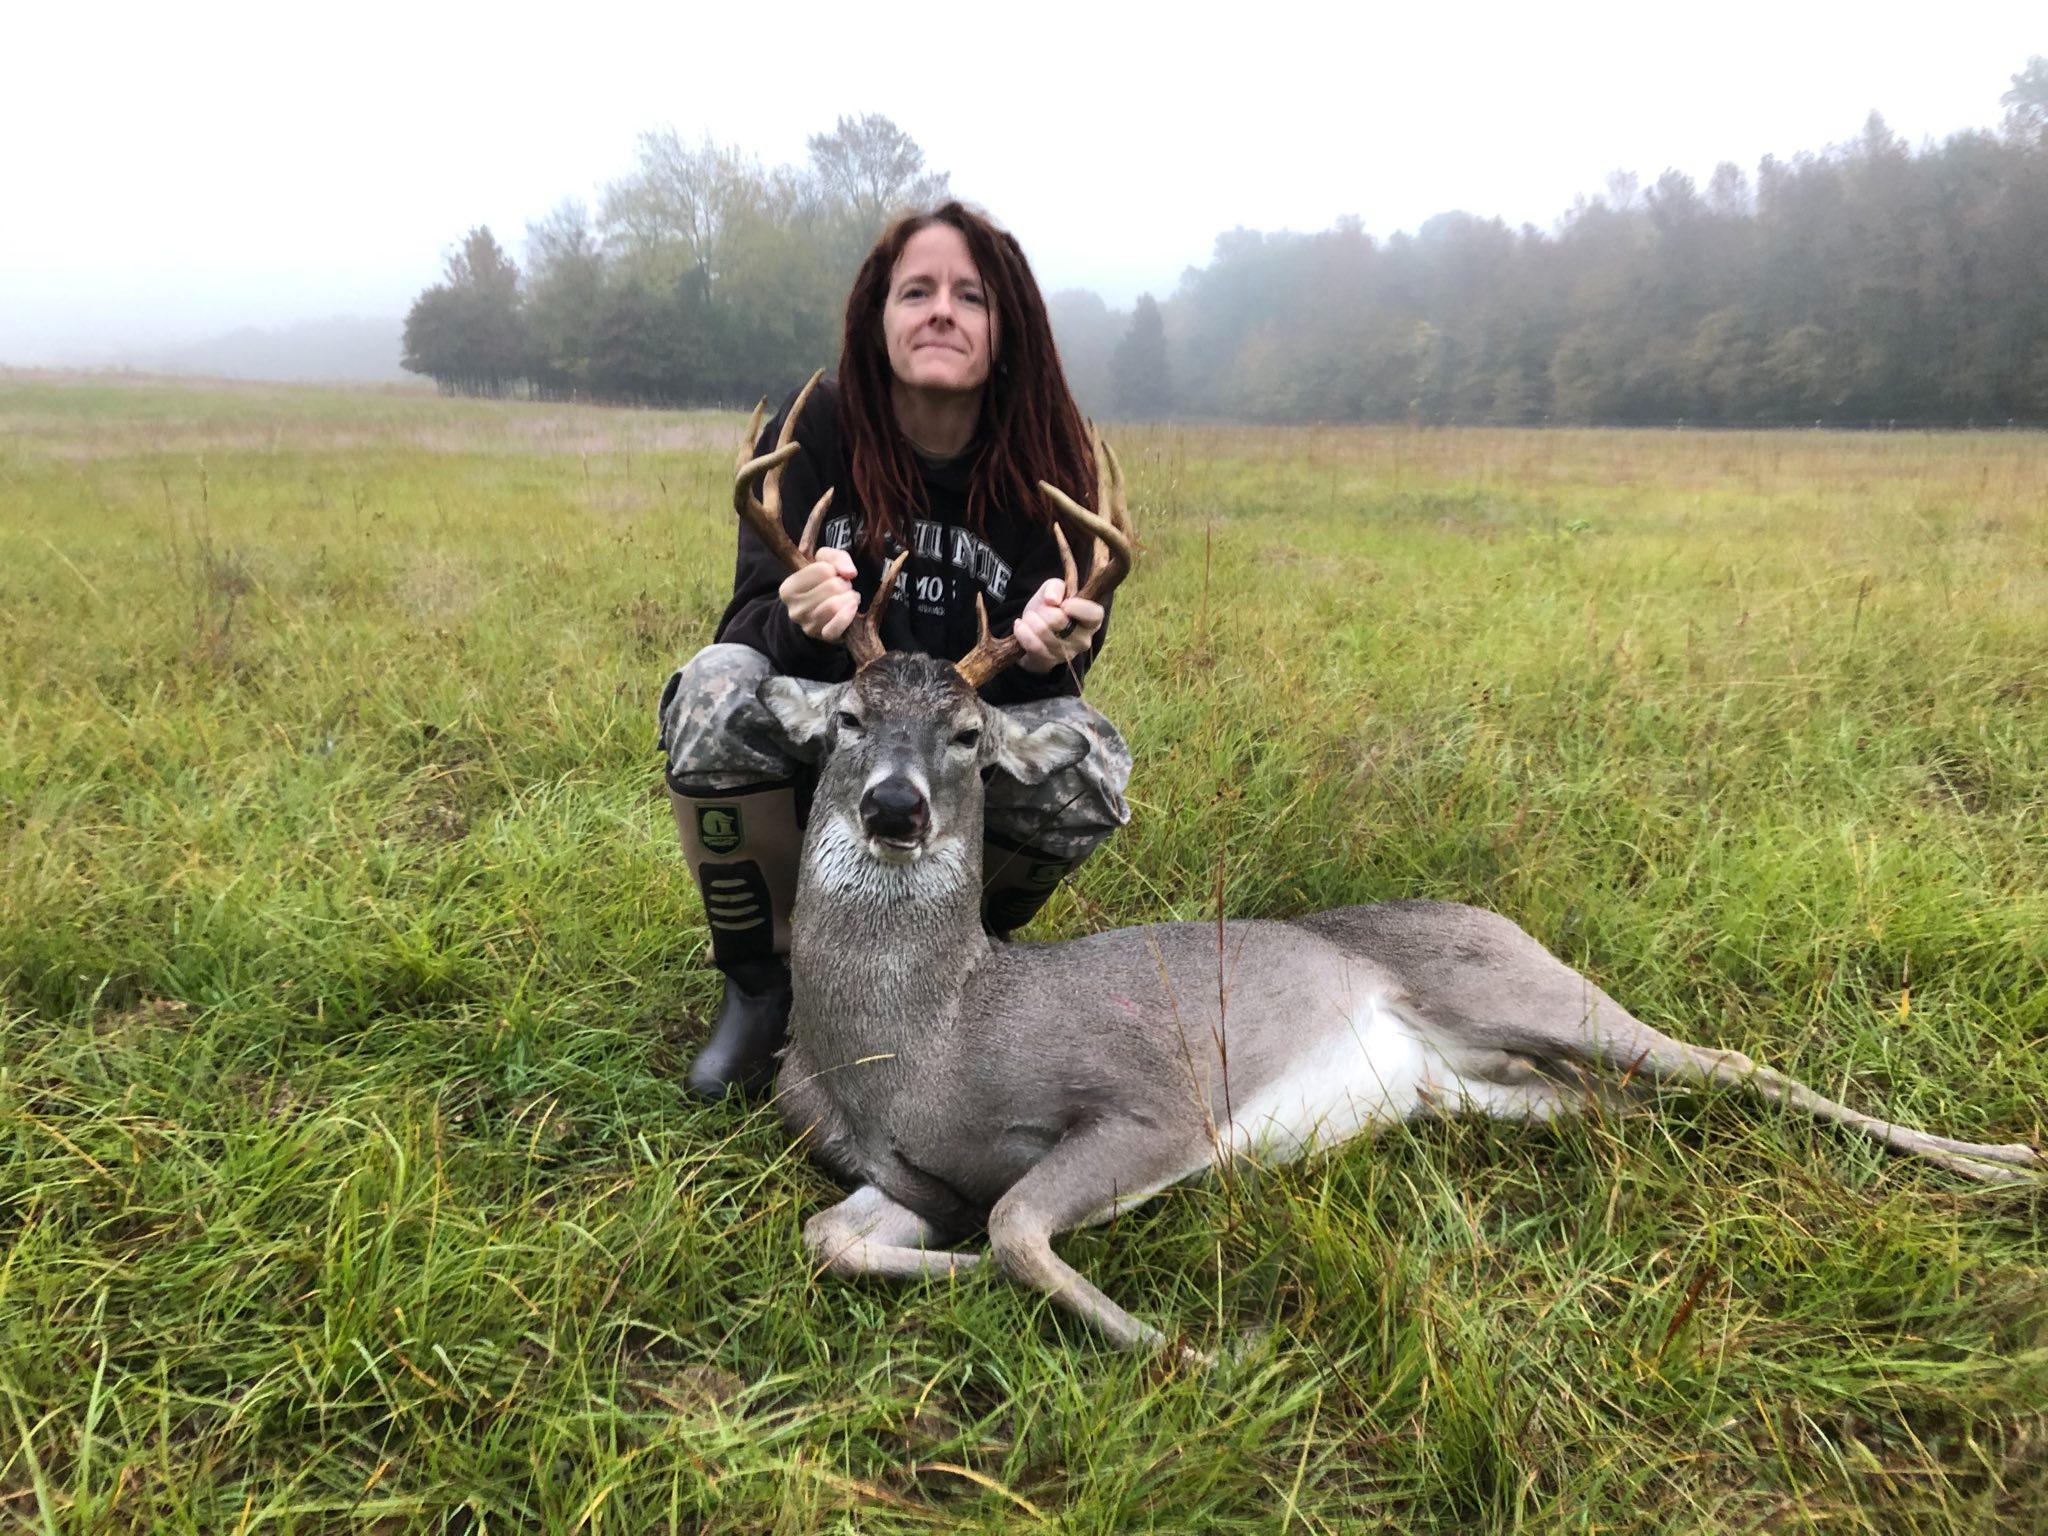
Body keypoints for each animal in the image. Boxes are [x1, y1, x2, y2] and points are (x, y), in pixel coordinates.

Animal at [722, 401, 2044, 1355]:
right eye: (848, 719)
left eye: (967, 738)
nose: (895, 808)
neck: (923, 1044)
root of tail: (1494, 917)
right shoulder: (897, 1175)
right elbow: (835, 1236)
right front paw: (954, 1269)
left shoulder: (1154, 1098)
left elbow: (1012, 1230)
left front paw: (1206, 1349)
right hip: (1481, 1085)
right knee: (1631, 1103)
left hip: (1529, 990)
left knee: (1729, 1062)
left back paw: (2003, 1165)